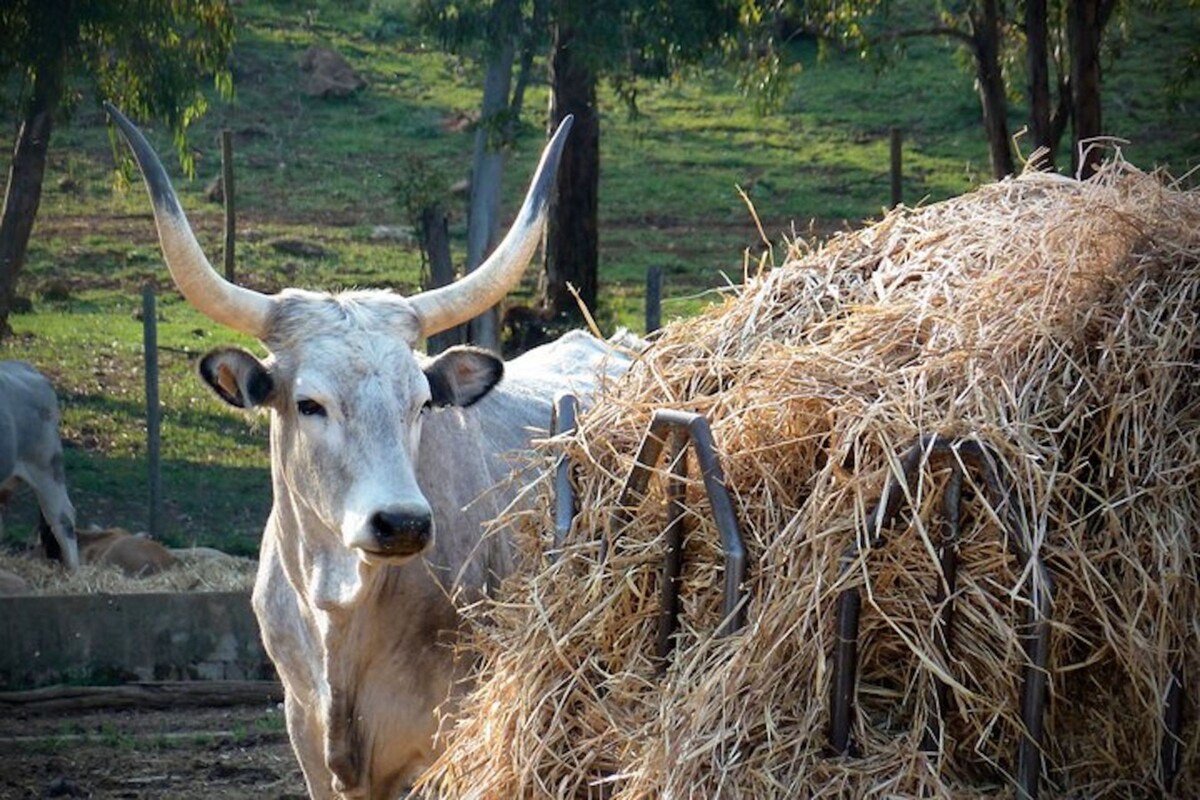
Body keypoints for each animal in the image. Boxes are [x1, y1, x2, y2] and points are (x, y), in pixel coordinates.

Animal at [109, 103, 633, 796]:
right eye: (309, 404)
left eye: (422, 402)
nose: (402, 522)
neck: (342, 612)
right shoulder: (306, 732)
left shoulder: (445, 742)